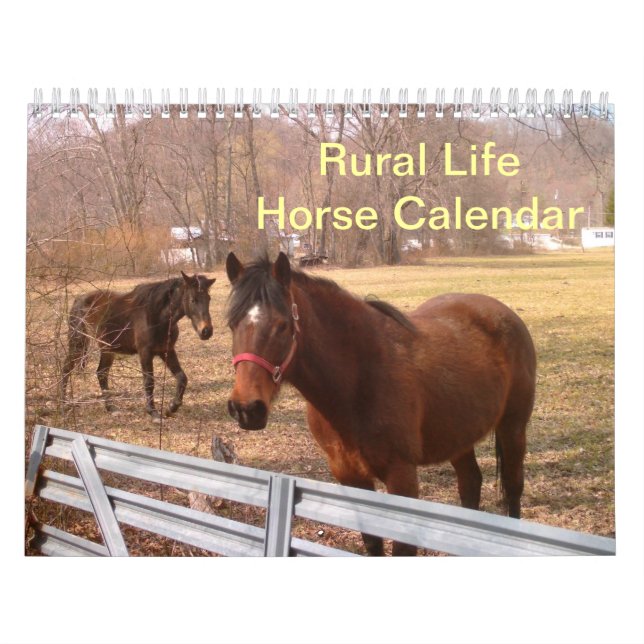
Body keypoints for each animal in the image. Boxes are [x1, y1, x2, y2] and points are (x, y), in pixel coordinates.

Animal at [61, 272, 216, 418]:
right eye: (193, 299)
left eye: (208, 299)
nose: (206, 331)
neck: (156, 316)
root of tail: (78, 300)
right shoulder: (145, 352)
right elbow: (149, 382)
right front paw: (153, 412)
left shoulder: (167, 350)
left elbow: (182, 377)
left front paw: (172, 407)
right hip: (78, 344)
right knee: (66, 369)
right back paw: (63, 403)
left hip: (107, 349)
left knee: (101, 373)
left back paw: (111, 408)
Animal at [225, 252, 537, 556]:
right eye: (232, 324)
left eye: (282, 325)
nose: (246, 409)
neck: (358, 380)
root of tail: (503, 313)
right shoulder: (350, 476)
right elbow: (372, 543)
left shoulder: (402, 476)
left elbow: (403, 548)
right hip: (459, 436)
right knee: (471, 485)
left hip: (513, 428)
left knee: (513, 488)